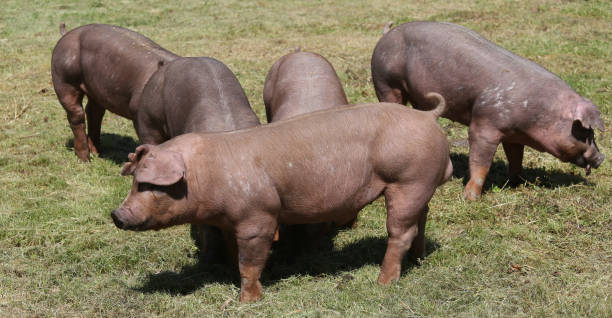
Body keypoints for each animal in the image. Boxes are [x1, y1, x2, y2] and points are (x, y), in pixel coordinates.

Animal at [51, 23, 178, 161]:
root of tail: (67, 33)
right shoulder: (140, 116)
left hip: (95, 88)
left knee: (94, 112)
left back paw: (97, 153)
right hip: (63, 79)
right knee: (76, 114)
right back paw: (85, 160)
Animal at [112, 100, 452, 304]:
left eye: (146, 184)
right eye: (134, 181)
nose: (116, 214)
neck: (206, 173)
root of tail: (427, 116)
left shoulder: (258, 217)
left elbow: (250, 261)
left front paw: (247, 301)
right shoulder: (230, 222)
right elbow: (236, 253)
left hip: (408, 180)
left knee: (401, 231)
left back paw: (382, 283)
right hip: (421, 185)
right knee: (422, 219)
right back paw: (418, 260)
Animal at [370, 21, 604, 200]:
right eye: (586, 132)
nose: (601, 157)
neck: (538, 112)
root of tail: (387, 33)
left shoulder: (514, 135)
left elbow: (516, 157)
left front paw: (519, 183)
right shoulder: (484, 124)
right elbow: (481, 163)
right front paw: (471, 198)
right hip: (385, 82)